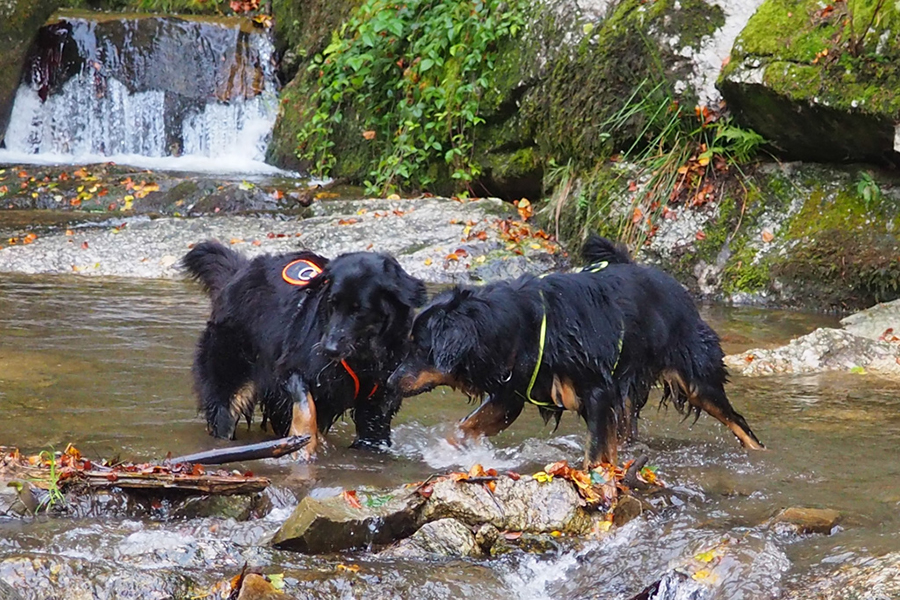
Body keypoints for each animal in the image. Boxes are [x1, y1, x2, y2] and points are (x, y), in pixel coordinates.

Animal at [185, 241, 428, 458]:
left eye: (359, 310)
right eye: (332, 303)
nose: (328, 349)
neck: (363, 357)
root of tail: (236, 274)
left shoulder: (378, 404)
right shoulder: (289, 372)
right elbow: (306, 407)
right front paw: (303, 446)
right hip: (229, 379)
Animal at [390, 233, 764, 464]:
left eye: (420, 348)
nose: (391, 381)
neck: (521, 325)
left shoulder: (598, 391)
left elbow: (596, 451)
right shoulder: (510, 394)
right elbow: (467, 427)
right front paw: (450, 451)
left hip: (696, 377)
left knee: (738, 421)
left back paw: (758, 452)